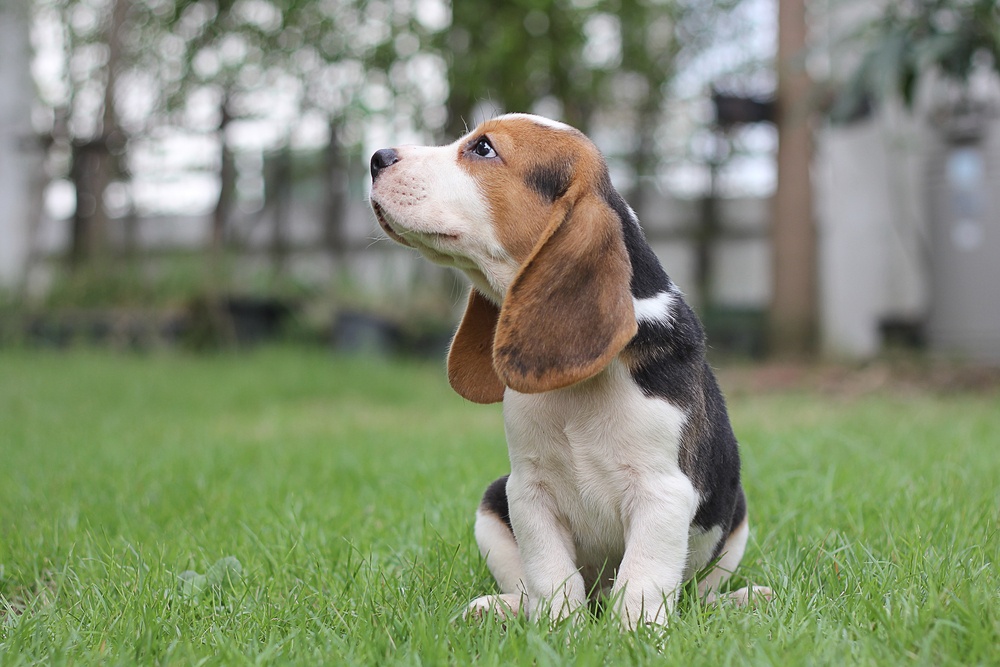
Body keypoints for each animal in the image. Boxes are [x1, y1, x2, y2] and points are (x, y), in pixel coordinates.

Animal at [372, 112, 768, 628]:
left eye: (483, 149)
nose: (377, 158)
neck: (579, 391)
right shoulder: (528, 491)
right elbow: (551, 572)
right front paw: (559, 628)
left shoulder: (662, 494)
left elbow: (642, 580)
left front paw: (633, 633)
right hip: (493, 501)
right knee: (530, 582)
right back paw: (503, 608)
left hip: (735, 518)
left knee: (696, 594)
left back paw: (741, 600)